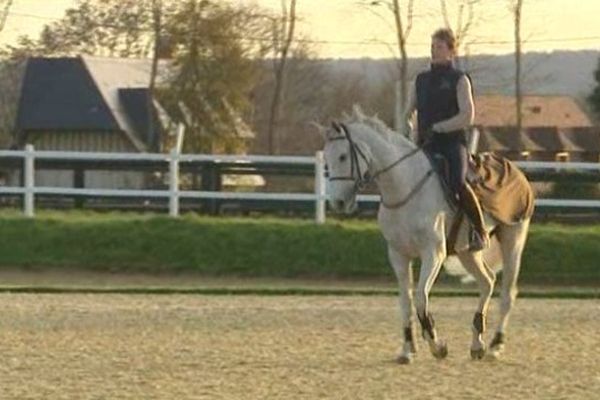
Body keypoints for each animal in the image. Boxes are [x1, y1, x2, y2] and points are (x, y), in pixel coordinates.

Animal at [322, 108, 532, 362]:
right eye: (327, 159)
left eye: (343, 157)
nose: (337, 202)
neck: (404, 188)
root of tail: (514, 169)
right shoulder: (398, 255)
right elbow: (406, 301)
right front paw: (407, 349)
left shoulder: (433, 254)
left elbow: (421, 298)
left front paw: (436, 344)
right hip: (467, 252)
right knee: (487, 281)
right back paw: (477, 344)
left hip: (514, 240)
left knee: (507, 293)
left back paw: (495, 345)